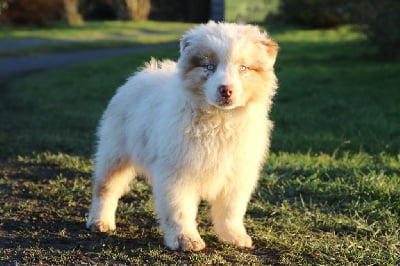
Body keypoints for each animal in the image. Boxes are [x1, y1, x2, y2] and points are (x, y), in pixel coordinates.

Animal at [86, 21, 278, 251]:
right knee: (106, 187)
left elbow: (231, 210)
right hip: (115, 151)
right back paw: (100, 222)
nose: (226, 90)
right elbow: (179, 209)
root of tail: (143, 74)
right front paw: (186, 240)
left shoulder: (237, 173)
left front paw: (234, 236)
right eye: (209, 67)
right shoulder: (178, 171)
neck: (219, 120)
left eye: (243, 68)